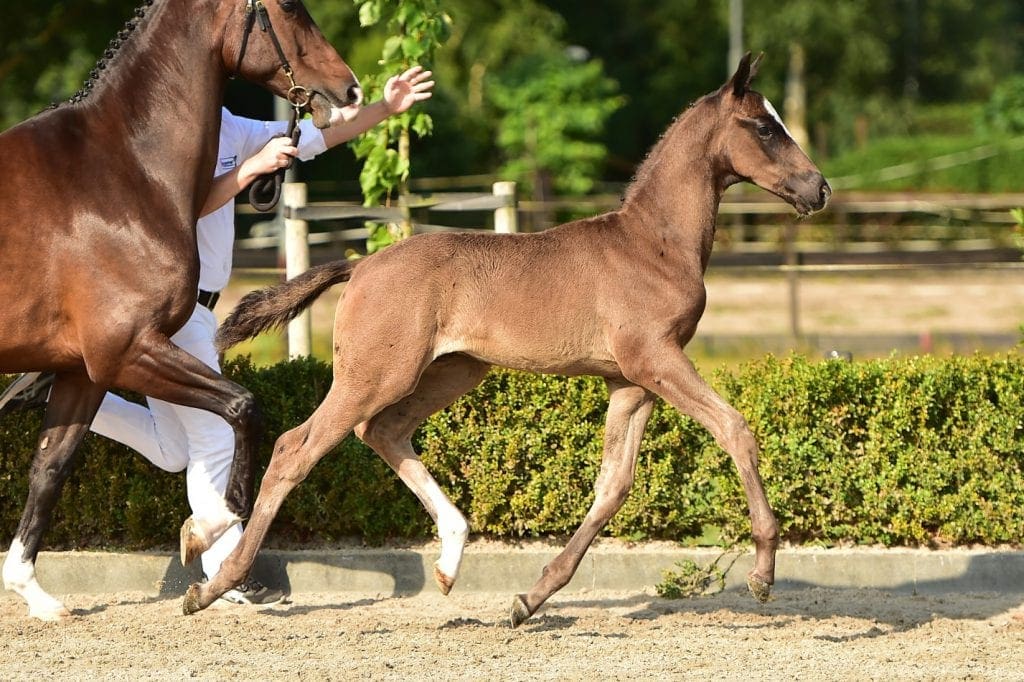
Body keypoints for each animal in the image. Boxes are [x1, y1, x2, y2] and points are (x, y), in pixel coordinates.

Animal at [0, 0, 361, 621]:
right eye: (288, 8)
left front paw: (31, 591)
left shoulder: (86, 369)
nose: (350, 89)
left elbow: (50, 468)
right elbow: (244, 407)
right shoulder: (129, 350)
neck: (119, 170)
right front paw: (210, 525)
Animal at [196, 53, 831, 626]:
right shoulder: (655, 358)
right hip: (377, 374)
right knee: (296, 448)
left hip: (452, 370)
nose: (819, 189)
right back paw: (214, 585)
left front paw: (530, 599)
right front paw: (763, 572)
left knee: (382, 431)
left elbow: (613, 486)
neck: (653, 244)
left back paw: (451, 557)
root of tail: (363, 265)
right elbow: (735, 429)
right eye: (764, 127)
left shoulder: (631, 381)